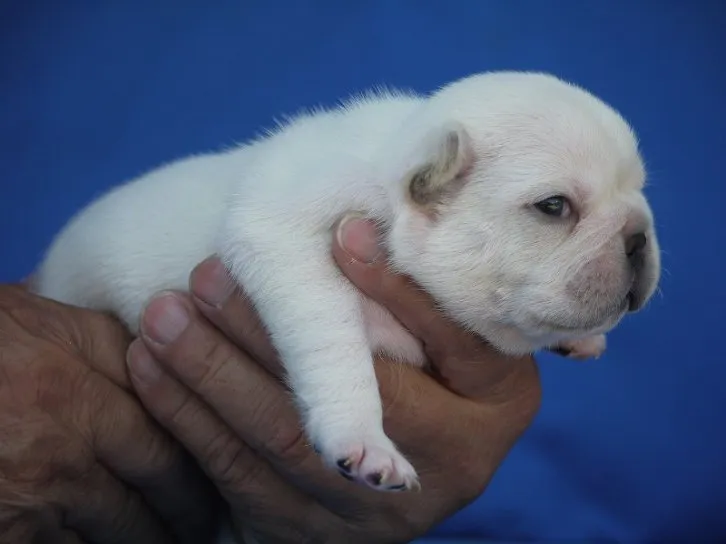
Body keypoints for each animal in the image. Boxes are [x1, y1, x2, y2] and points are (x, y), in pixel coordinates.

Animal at [32, 71, 660, 492]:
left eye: (639, 190)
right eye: (554, 207)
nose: (638, 235)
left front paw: (580, 338)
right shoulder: (279, 237)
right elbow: (333, 341)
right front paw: (364, 442)